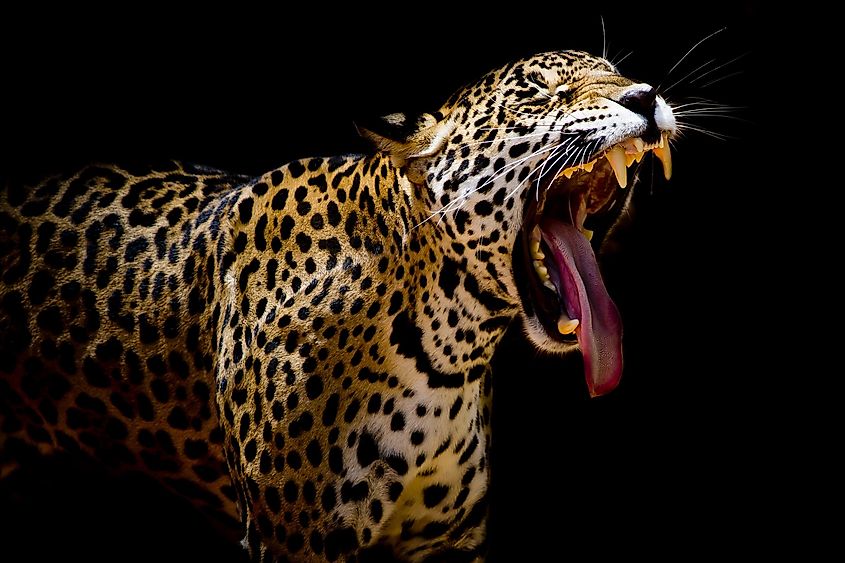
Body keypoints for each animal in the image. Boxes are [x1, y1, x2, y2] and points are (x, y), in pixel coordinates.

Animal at [0, 50, 676, 561]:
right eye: (542, 95)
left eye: (616, 72)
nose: (646, 96)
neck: (447, 347)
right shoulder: (292, 537)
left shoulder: (447, 539)